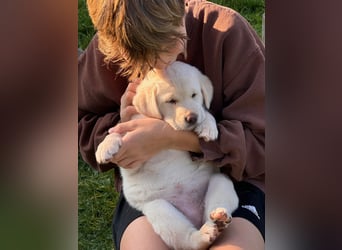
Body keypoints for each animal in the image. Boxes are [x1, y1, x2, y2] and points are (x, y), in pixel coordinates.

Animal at [94, 61, 238, 250]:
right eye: (171, 101)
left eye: (194, 95)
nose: (192, 118)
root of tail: (195, 218)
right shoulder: (133, 157)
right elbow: (117, 132)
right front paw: (105, 147)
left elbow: (206, 113)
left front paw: (208, 127)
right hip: (159, 209)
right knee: (187, 240)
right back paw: (205, 234)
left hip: (220, 181)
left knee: (209, 217)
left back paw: (217, 222)